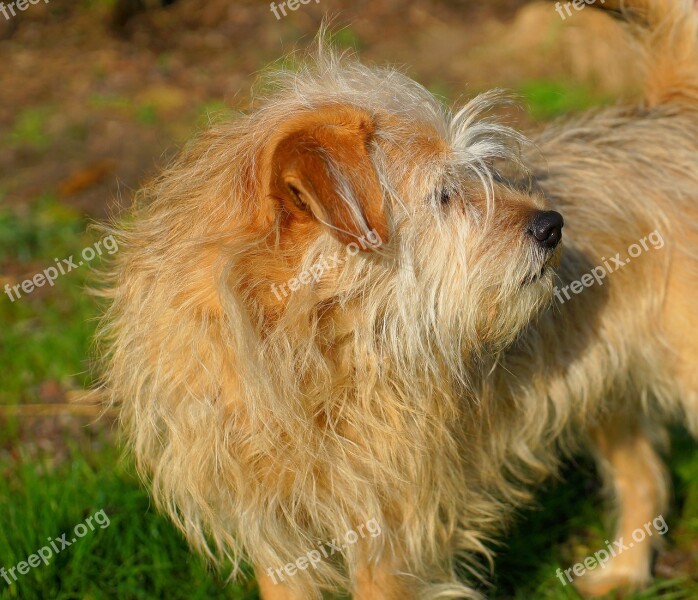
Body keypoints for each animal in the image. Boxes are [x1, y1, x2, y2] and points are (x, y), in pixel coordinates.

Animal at [96, 2, 696, 596]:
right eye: (443, 194)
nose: (554, 225)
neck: (301, 353)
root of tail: (669, 114)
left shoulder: (388, 522)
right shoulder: (271, 530)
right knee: (643, 472)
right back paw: (623, 573)